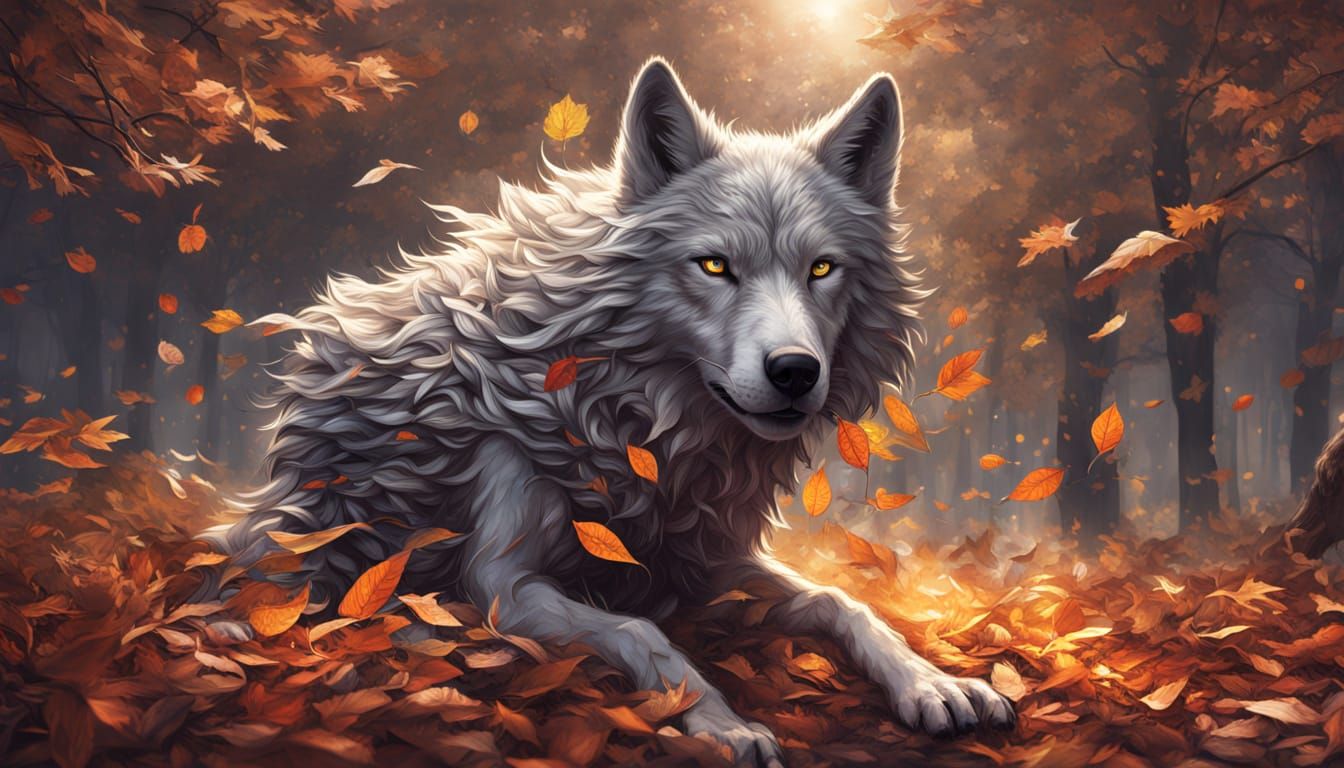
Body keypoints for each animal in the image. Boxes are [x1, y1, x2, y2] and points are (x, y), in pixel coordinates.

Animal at [208, 58, 1015, 765]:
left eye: (821, 268)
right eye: (714, 265)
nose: (794, 371)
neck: (639, 425)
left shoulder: (703, 559)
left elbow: (840, 601)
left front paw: (933, 684)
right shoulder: (504, 584)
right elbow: (645, 633)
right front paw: (723, 724)